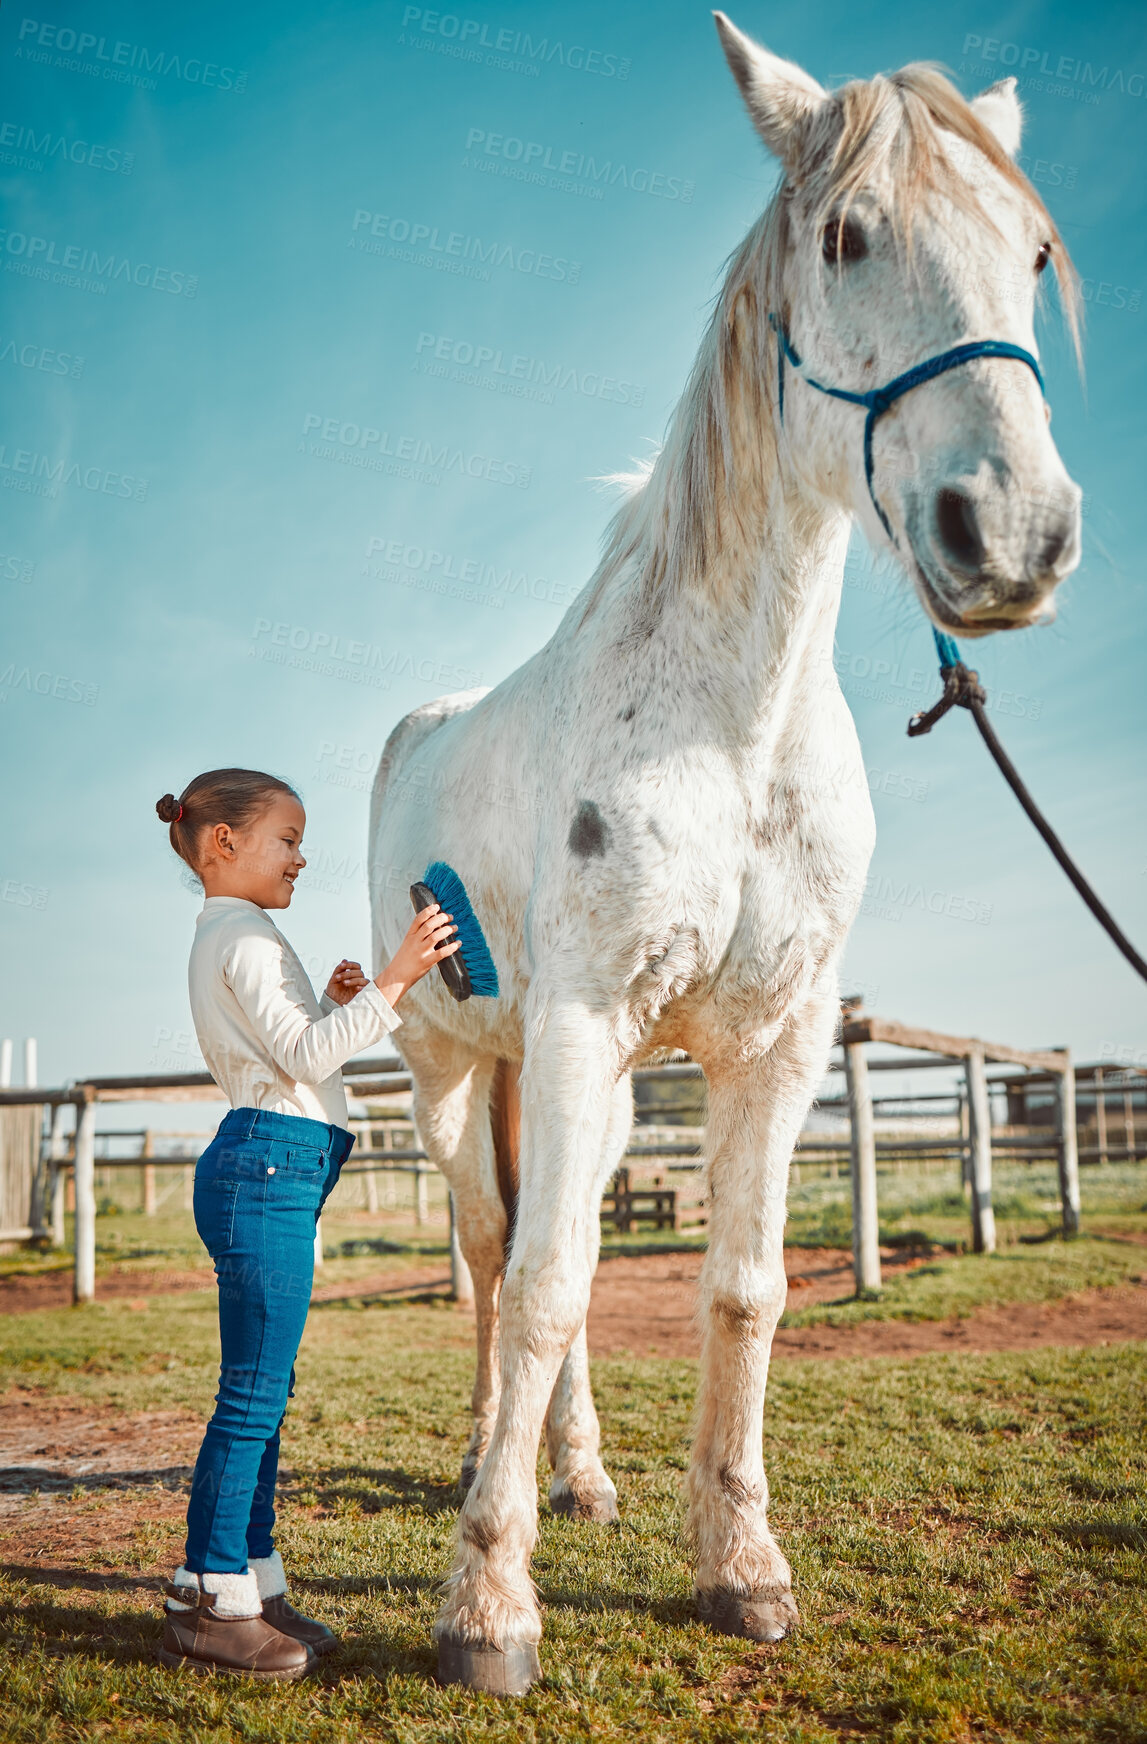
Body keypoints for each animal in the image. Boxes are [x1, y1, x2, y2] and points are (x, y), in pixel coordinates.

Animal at [367, 13, 1080, 1688]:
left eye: (1029, 252)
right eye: (845, 234)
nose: (1010, 534)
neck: (733, 728)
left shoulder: (769, 1042)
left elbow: (742, 1290)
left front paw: (738, 1566)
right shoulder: (574, 1024)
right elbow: (547, 1284)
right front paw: (487, 1605)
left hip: (593, 1084)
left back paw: (575, 1477)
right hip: (453, 1071)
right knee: (493, 1249)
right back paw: (488, 1470)